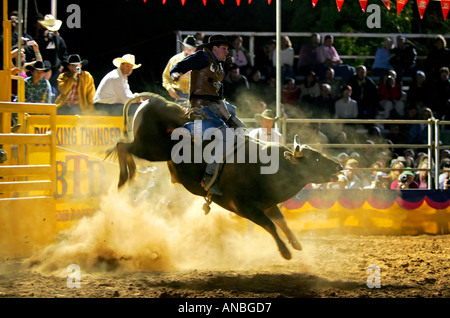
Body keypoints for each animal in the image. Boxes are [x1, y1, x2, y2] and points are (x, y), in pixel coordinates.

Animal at [108, 92, 342, 260]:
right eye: (317, 159)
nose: (339, 166)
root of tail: (155, 100)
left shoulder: (267, 203)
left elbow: (281, 221)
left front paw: (295, 243)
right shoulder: (245, 207)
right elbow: (270, 225)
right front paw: (285, 252)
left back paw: (129, 177)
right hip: (152, 148)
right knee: (122, 146)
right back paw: (124, 178)